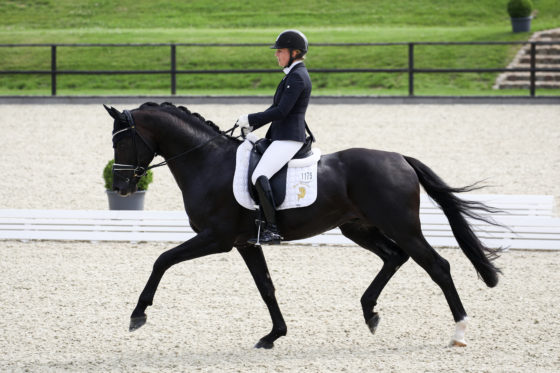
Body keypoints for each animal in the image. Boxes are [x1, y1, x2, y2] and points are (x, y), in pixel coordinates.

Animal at [104, 101, 498, 346]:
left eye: (122, 143)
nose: (121, 187)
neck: (207, 162)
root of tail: (400, 158)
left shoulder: (216, 238)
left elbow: (162, 260)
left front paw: (137, 315)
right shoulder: (245, 243)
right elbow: (266, 287)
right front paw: (274, 335)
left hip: (401, 225)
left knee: (437, 265)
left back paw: (459, 332)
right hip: (357, 227)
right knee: (394, 257)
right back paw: (369, 311)